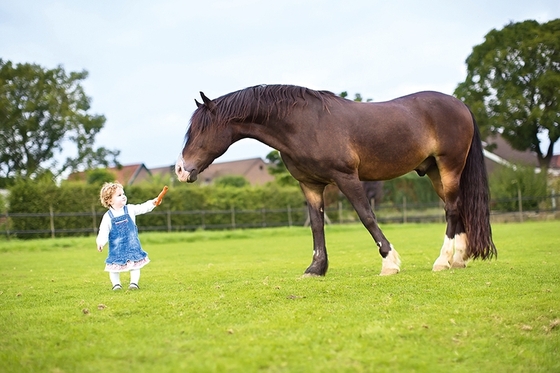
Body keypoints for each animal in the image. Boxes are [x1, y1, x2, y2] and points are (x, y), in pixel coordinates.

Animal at [175, 85, 494, 274]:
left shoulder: (347, 177)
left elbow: (366, 216)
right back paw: (458, 259)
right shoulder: (310, 185)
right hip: (435, 172)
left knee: (451, 209)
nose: (180, 169)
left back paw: (442, 261)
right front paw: (316, 268)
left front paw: (389, 262)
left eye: (202, 131)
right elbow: (317, 225)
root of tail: (460, 105)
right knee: (458, 208)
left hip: (449, 166)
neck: (305, 124)